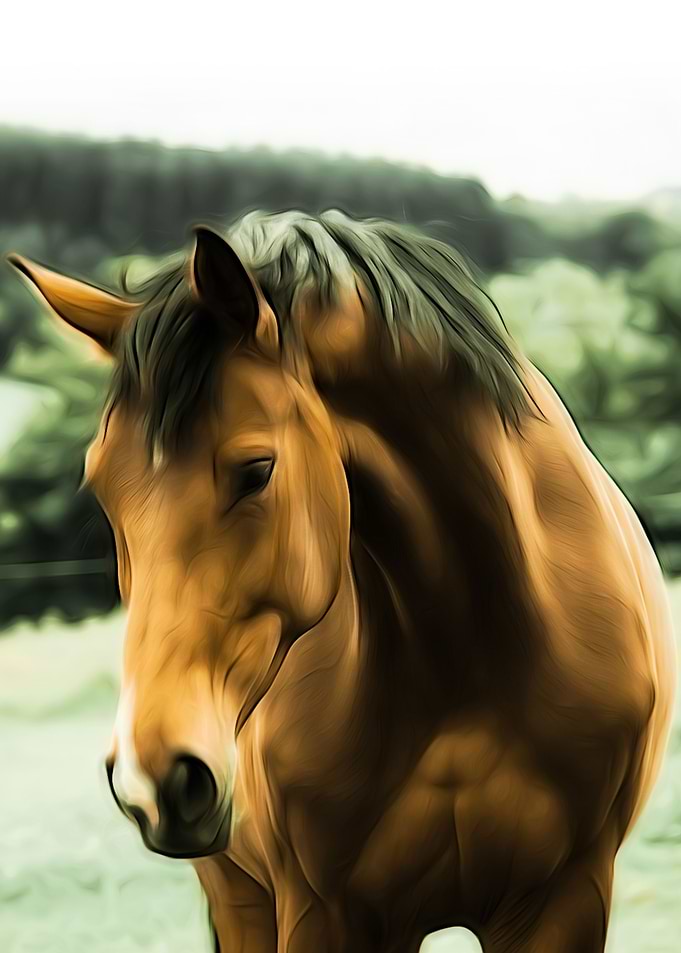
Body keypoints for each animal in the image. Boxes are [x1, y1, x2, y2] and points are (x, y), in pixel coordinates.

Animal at [10, 209, 676, 952]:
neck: (471, 659)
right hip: (237, 893)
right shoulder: (324, 911)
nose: (149, 777)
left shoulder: (566, 899)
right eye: (101, 486)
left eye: (256, 470)